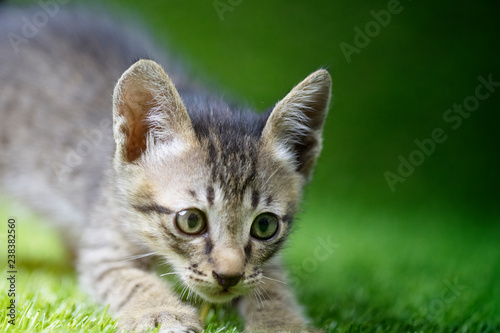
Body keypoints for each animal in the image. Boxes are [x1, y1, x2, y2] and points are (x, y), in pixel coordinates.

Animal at [0, 5, 332, 332]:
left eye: (265, 225)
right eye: (191, 221)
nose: (229, 276)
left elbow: (272, 285)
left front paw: (282, 322)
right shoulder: (105, 245)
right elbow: (131, 281)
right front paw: (161, 312)